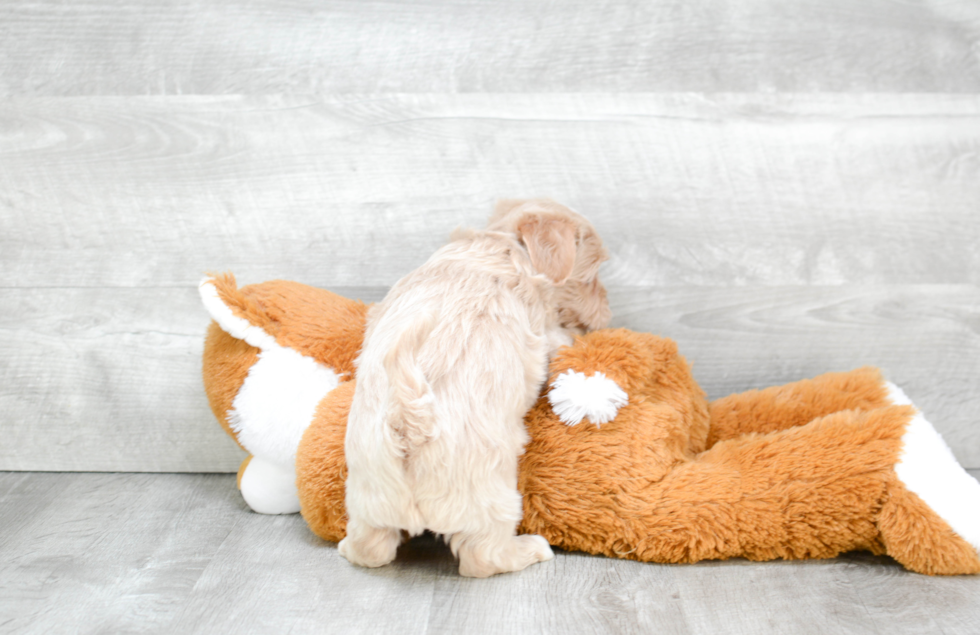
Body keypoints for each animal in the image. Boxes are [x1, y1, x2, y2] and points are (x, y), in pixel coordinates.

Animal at [340, 201, 608, 580]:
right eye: (590, 277)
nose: (605, 314)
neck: (501, 243)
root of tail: (410, 421)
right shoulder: (543, 328)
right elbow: (558, 339)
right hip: (492, 495)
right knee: (483, 557)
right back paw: (529, 550)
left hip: (368, 493)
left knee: (372, 547)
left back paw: (347, 547)